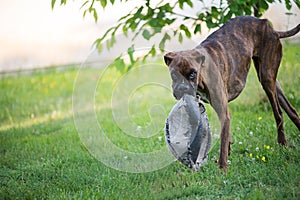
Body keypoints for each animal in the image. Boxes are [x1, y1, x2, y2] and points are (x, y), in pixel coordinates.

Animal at [164, 16, 300, 172]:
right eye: (174, 75)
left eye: (193, 73)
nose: (182, 88)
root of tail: (270, 28)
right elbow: (224, 136)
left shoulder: (224, 112)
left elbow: (223, 142)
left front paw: (222, 169)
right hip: (271, 79)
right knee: (291, 110)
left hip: (267, 79)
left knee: (279, 113)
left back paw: (283, 142)